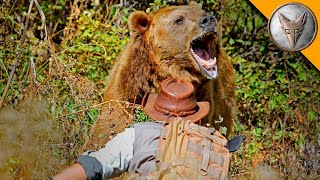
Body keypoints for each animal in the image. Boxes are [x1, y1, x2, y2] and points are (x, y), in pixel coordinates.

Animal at [85, 2, 235, 149]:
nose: (208, 19)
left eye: (202, 13)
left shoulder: (203, 98)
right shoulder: (128, 89)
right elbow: (111, 124)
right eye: (179, 19)